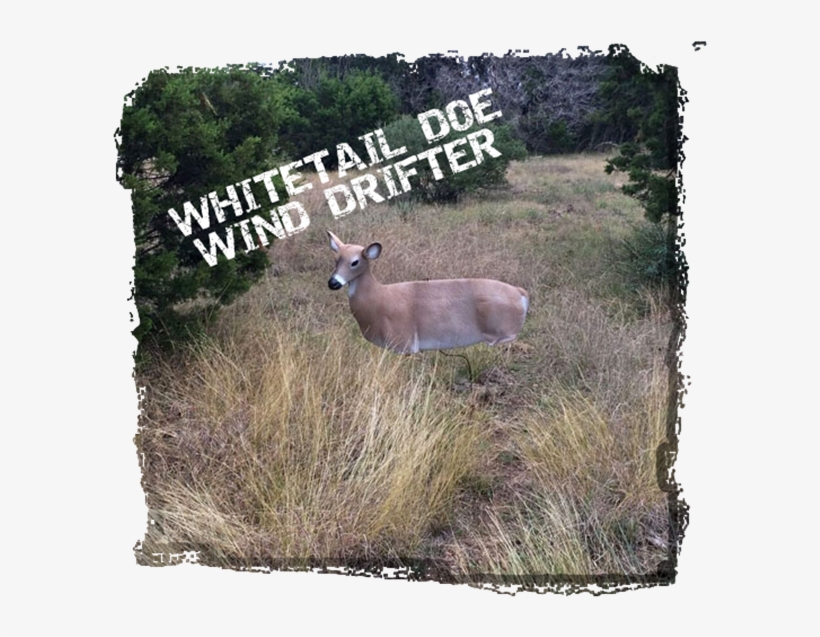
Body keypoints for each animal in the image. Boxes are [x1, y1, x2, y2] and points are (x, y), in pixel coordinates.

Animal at [326, 231, 529, 355]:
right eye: (336, 260)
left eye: (355, 262)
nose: (333, 283)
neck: (377, 298)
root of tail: (521, 293)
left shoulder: (403, 341)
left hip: (502, 324)